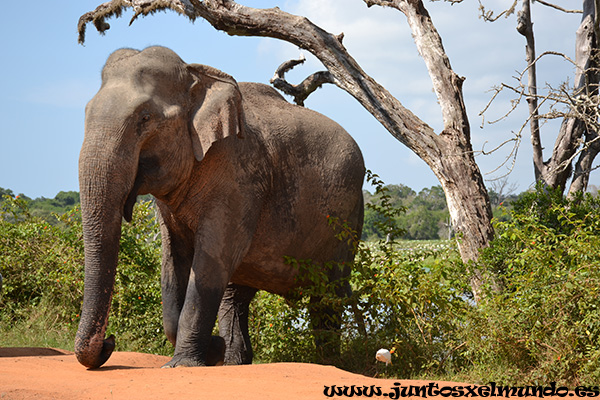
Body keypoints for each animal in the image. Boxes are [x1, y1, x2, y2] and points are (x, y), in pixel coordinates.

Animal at [75, 46, 366, 368]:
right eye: (85, 112)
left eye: (145, 118)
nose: (109, 342)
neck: (196, 75)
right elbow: (173, 258)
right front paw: (212, 349)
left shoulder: (238, 176)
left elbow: (210, 260)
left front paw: (183, 365)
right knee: (236, 295)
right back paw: (234, 361)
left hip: (349, 220)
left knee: (327, 296)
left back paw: (330, 363)